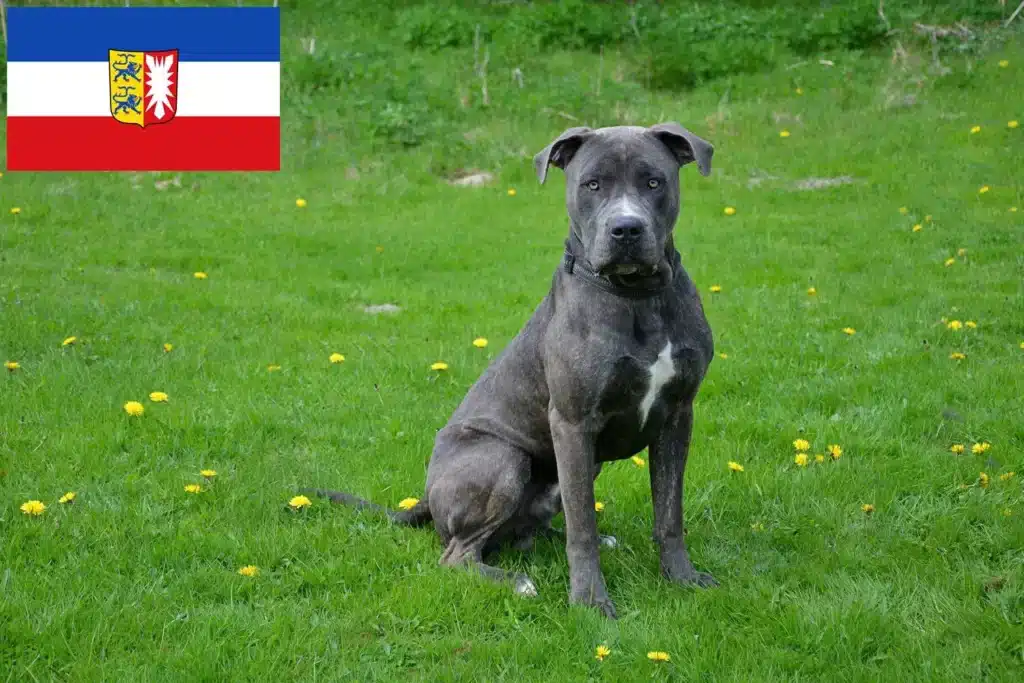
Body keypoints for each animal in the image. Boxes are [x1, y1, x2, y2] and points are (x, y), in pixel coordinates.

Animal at [307, 122, 716, 618]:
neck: (637, 297)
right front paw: (589, 601)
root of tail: (426, 499)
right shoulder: (573, 423)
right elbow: (583, 526)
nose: (626, 228)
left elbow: (668, 513)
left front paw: (682, 578)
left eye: (654, 181)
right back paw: (518, 582)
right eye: (592, 184)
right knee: (460, 555)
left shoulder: (677, 416)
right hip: (504, 458)